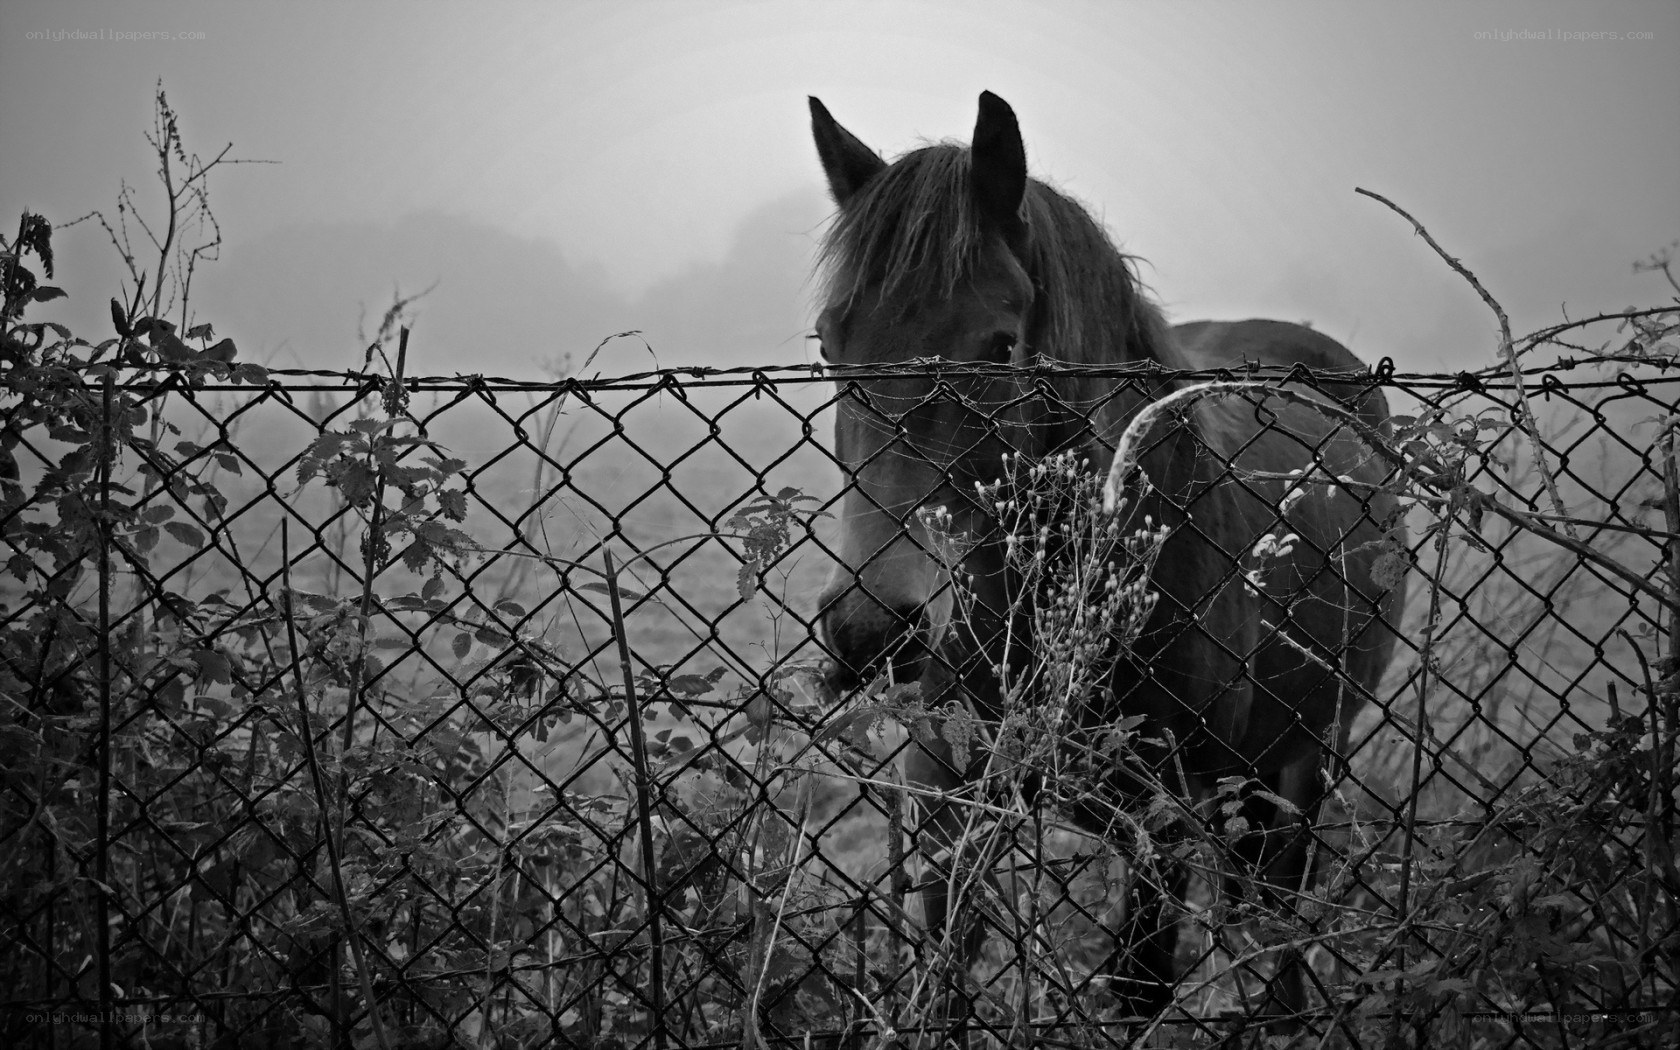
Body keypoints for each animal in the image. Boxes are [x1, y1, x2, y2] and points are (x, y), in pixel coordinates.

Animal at [808, 91, 1407, 1024]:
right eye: (829, 346)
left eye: (1000, 345)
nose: (874, 629)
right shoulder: (949, 799)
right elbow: (943, 971)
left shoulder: (1164, 819)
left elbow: (1139, 984)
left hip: (1303, 756)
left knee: (1277, 915)